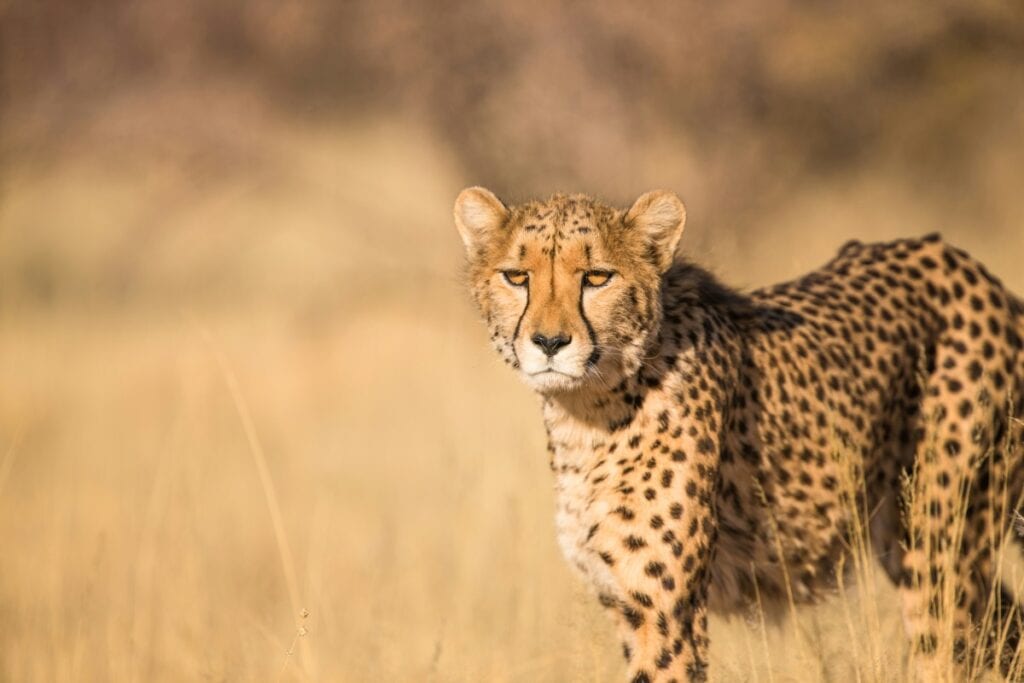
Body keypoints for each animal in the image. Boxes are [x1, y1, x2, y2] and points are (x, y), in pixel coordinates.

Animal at [453, 186, 1024, 682]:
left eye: (596, 277)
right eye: (516, 276)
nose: (549, 342)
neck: (588, 411)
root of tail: (968, 266)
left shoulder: (666, 612)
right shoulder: (625, 602)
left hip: (940, 551)